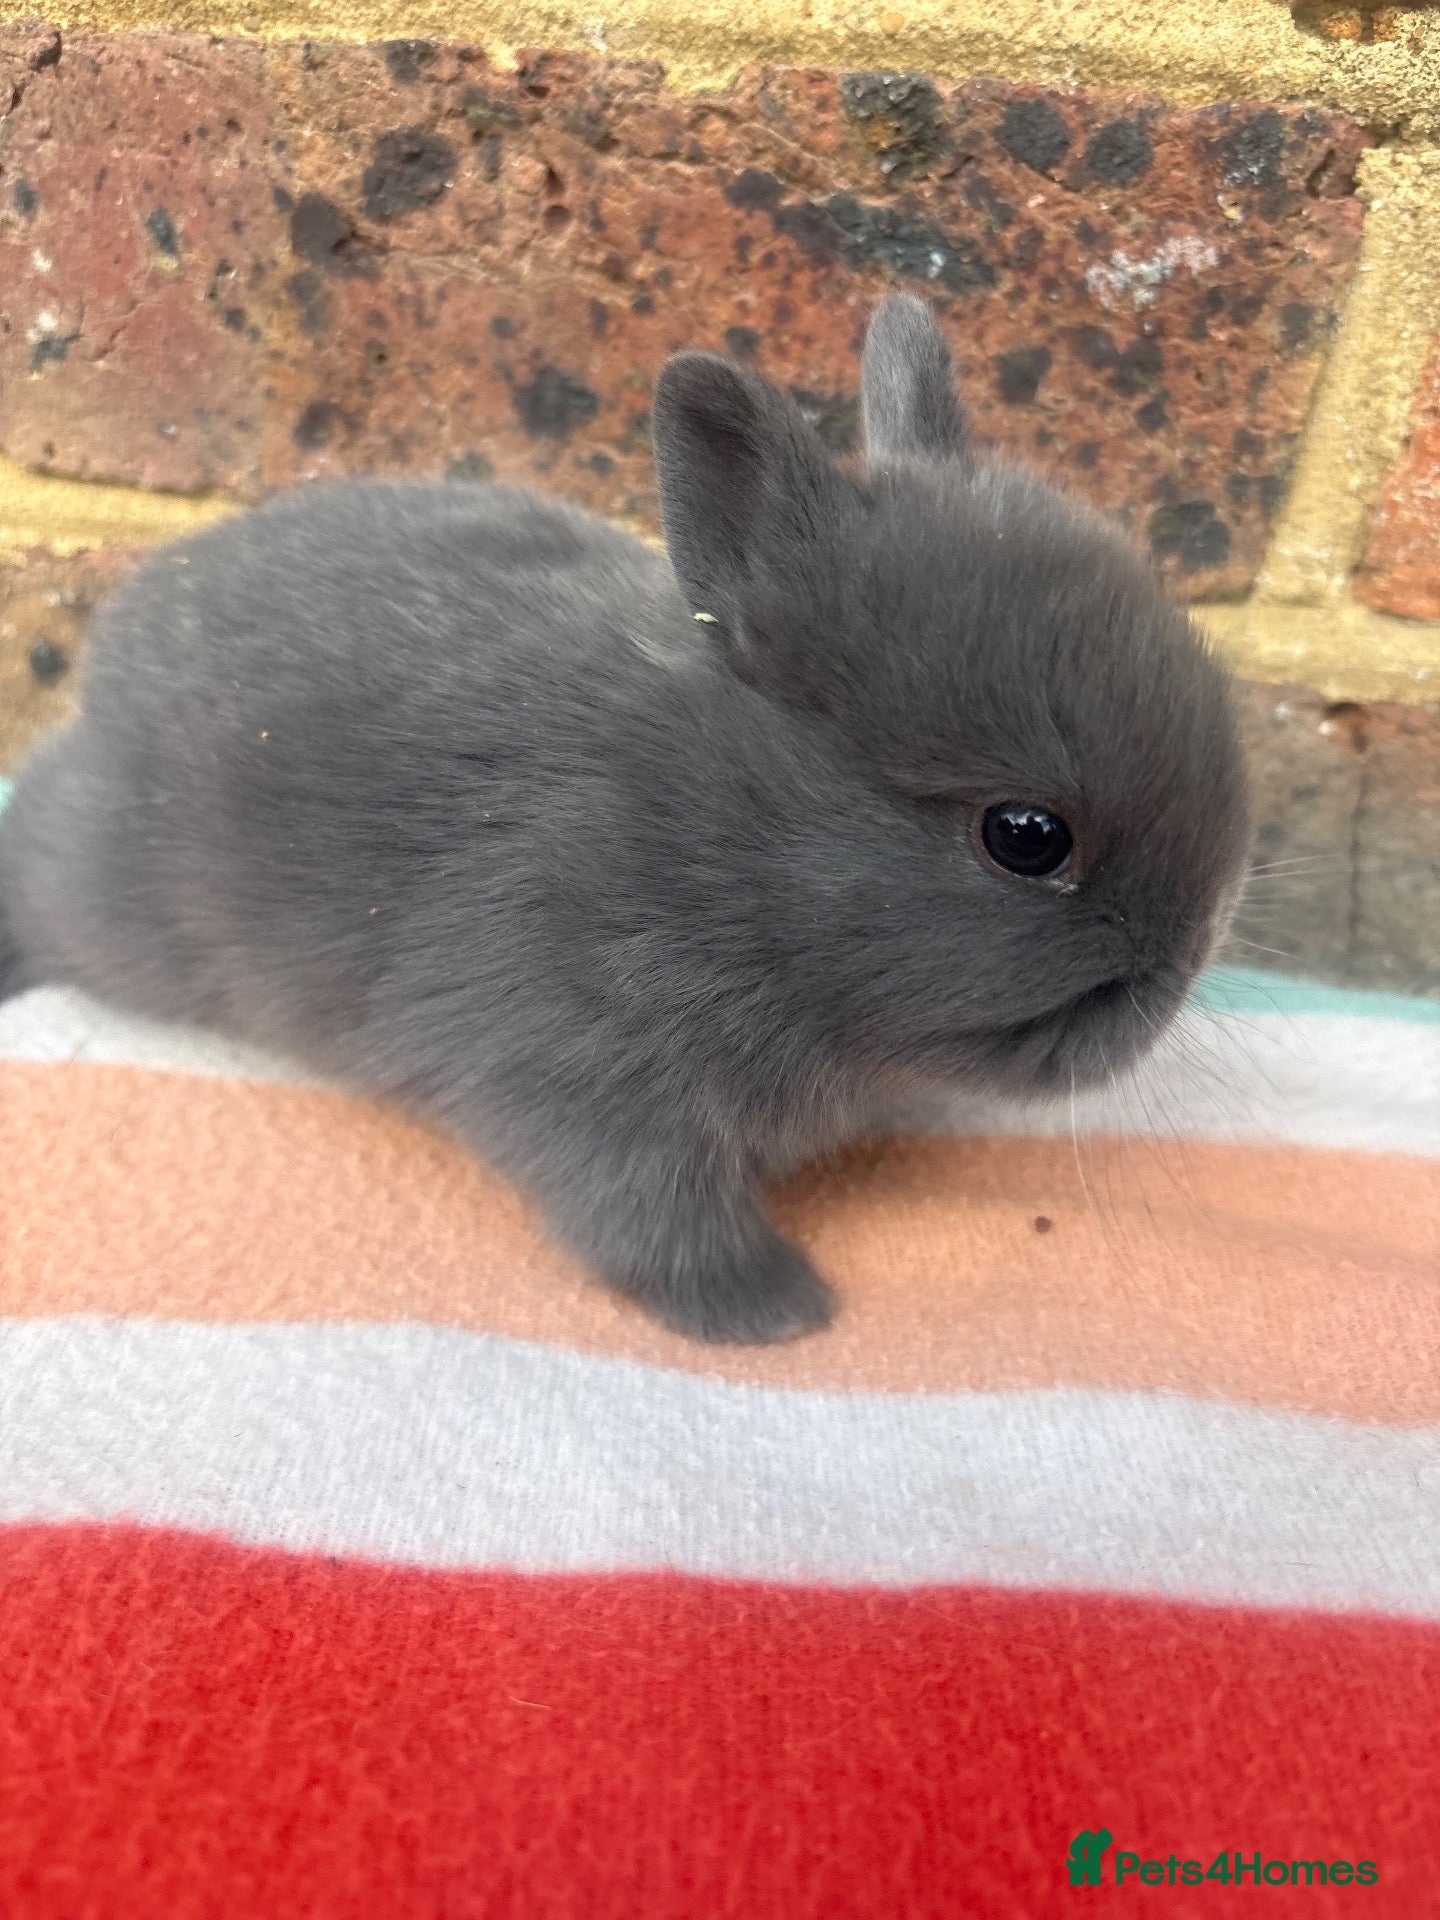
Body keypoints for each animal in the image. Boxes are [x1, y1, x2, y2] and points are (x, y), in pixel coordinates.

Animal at [0, 294, 1250, 1344]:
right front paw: (772, 1310)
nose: (1193, 952)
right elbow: (651, 1214)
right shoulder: (582, 1070)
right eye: (1025, 837)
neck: (724, 837)